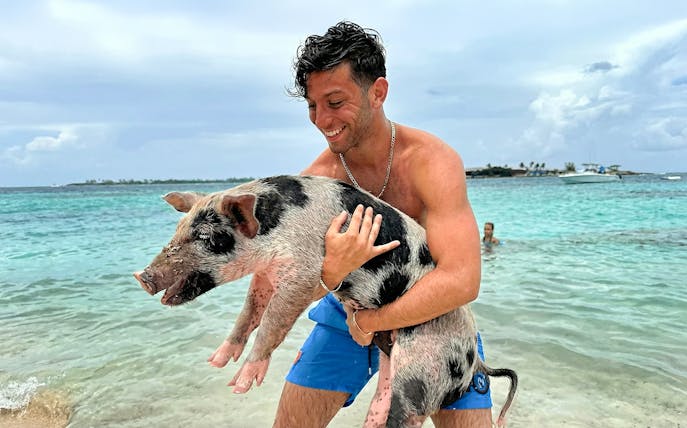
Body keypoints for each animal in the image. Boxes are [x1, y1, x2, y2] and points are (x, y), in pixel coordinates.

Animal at [134, 174, 517, 427]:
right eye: (178, 230)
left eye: (204, 237)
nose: (142, 276)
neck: (274, 230)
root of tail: (475, 361)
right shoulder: (267, 274)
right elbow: (249, 312)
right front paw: (217, 361)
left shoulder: (303, 273)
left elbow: (273, 321)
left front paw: (241, 383)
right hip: (398, 366)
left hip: (425, 367)